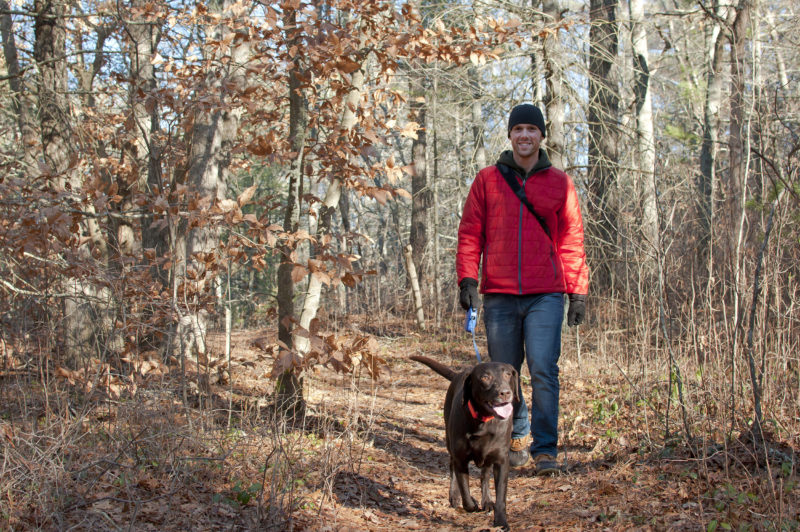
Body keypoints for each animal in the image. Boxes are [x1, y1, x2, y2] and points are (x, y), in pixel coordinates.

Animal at [412, 356, 520, 528]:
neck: (483, 421)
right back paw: (454, 496)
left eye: (508, 374)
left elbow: (501, 496)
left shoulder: (501, 460)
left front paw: (501, 521)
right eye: (485, 377)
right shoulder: (461, 459)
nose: (505, 392)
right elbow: (465, 493)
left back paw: (487, 500)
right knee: (452, 468)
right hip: (450, 444)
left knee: (485, 474)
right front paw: (470, 503)